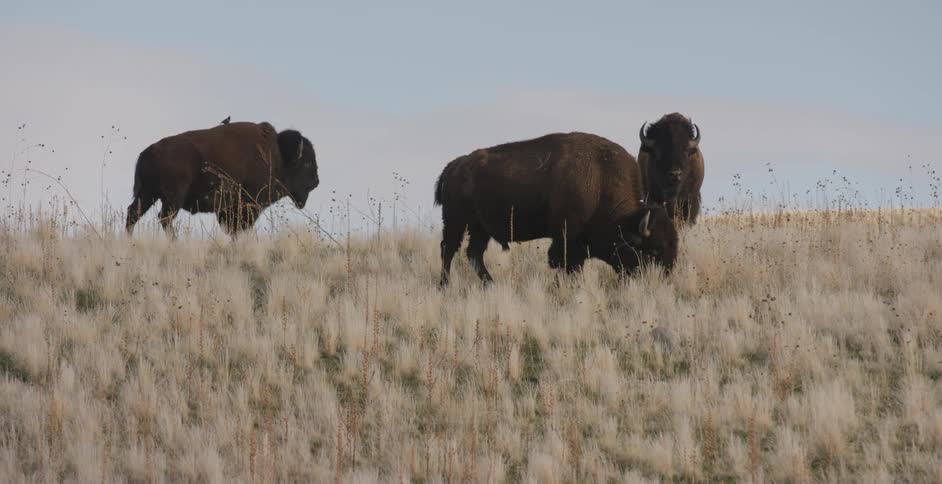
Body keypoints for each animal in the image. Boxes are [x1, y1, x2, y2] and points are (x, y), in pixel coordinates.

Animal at [125, 121, 319, 236]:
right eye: (307, 163)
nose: (316, 181)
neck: (277, 157)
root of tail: (148, 152)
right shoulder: (249, 204)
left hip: (148, 194)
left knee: (133, 213)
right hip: (172, 199)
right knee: (164, 218)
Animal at [434, 132, 678, 286]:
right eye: (653, 251)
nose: (665, 276)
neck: (601, 182)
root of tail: (455, 165)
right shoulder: (566, 238)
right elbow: (565, 263)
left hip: (480, 227)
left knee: (473, 253)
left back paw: (490, 285)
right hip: (456, 221)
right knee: (449, 249)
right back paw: (445, 286)